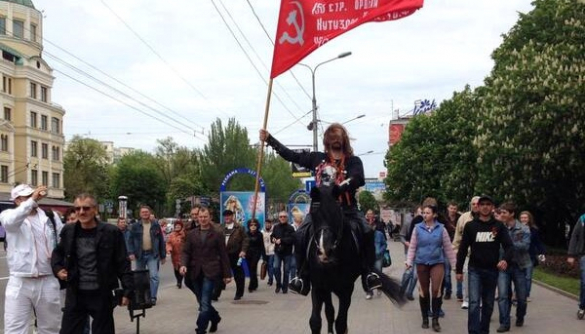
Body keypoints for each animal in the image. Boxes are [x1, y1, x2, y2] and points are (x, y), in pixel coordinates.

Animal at [306, 185, 406, 334]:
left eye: (336, 212)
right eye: (313, 213)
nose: (324, 251)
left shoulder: (346, 290)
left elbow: (341, 323)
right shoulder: (319, 286)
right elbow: (315, 321)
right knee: (329, 312)